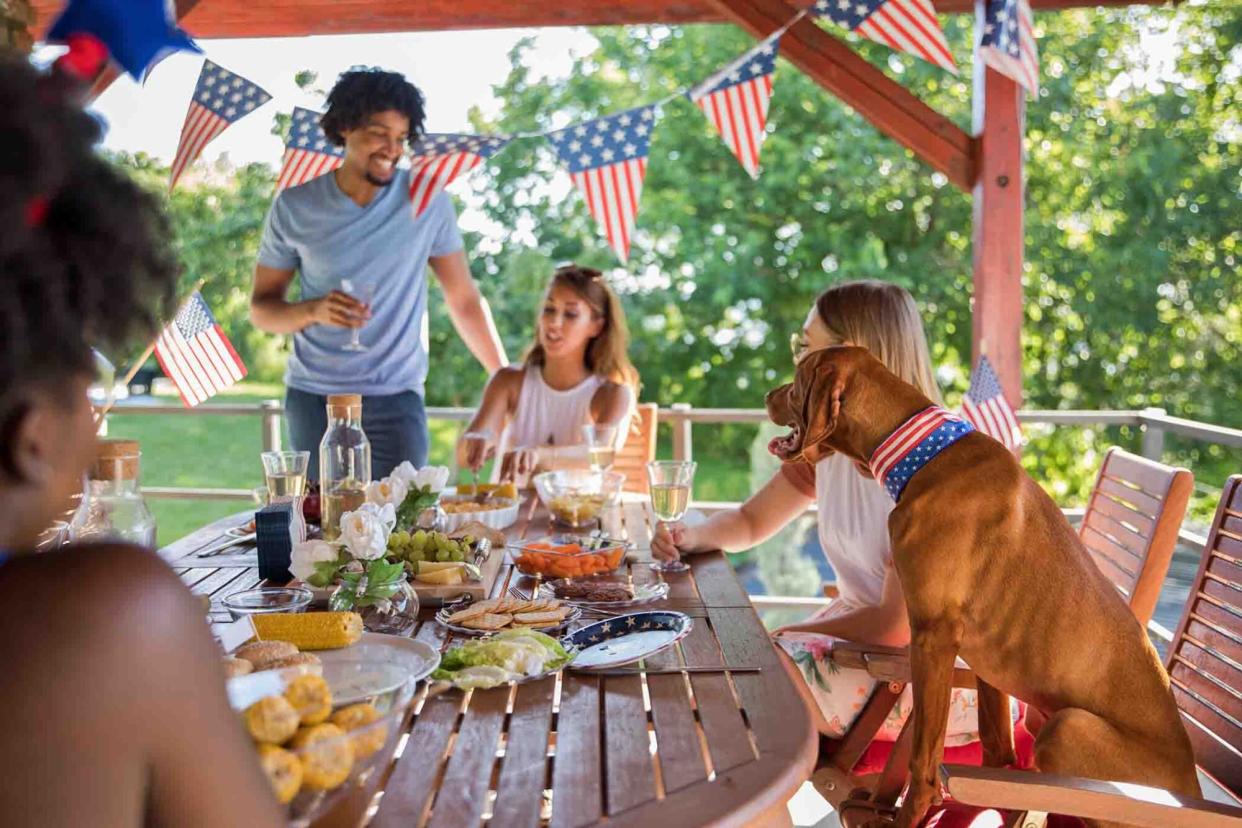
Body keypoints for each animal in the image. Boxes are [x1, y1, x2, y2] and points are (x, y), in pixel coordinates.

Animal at [765, 347, 1202, 828]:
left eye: (797, 377)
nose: (767, 395)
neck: (923, 458)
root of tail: (1193, 790)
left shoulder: (932, 636)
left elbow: (923, 761)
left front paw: (908, 815)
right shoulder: (985, 662)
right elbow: (997, 751)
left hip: (1066, 727)